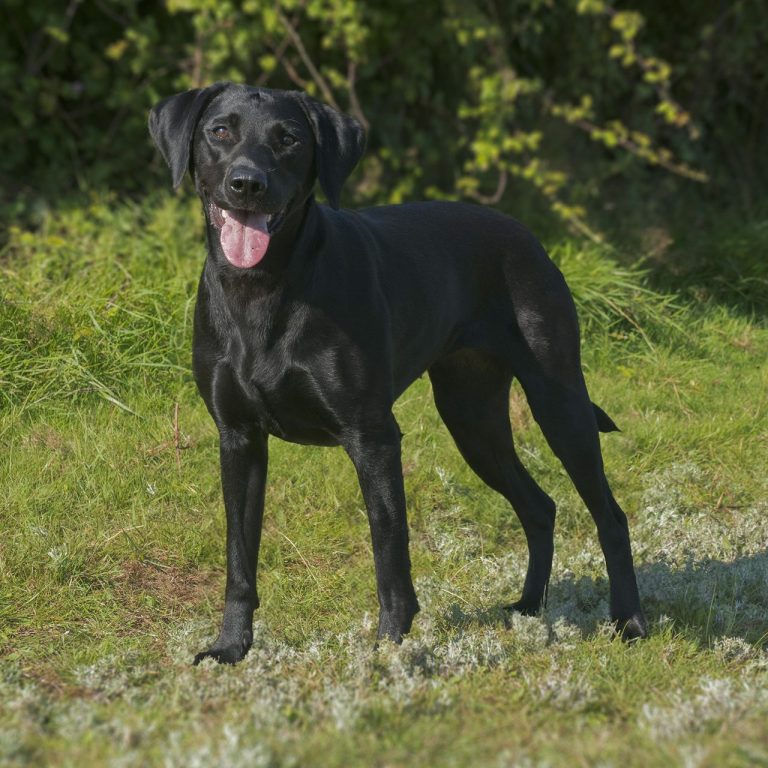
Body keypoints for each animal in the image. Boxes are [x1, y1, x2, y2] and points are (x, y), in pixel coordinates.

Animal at [147, 81, 644, 664]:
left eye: (289, 139)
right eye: (220, 130)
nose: (247, 183)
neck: (263, 286)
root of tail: (526, 235)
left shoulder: (373, 438)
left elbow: (389, 552)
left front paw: (388, 649)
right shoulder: (238, 439)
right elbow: (239, 558)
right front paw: (230, 647)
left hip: (558, 403)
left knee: (609, 514)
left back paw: (629, 621)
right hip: (472, 420)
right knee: (539, 506)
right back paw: (528, 606)